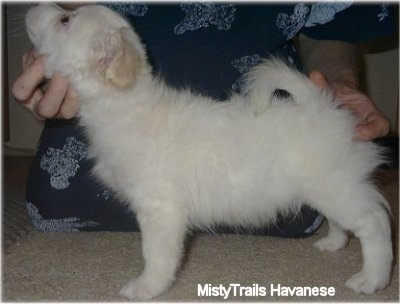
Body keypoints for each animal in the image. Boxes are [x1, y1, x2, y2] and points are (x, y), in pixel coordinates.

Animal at [25, 3, 394, 300]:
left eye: (65, 20)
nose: (32, 6)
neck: (123, 104)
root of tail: (320, 104)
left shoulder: (161, 211)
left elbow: (156, 257)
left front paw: (146, 288)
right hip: (324, 188)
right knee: (344, 221)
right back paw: (333, 243)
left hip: (335, 187)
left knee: (375, 222)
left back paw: (372, 279)